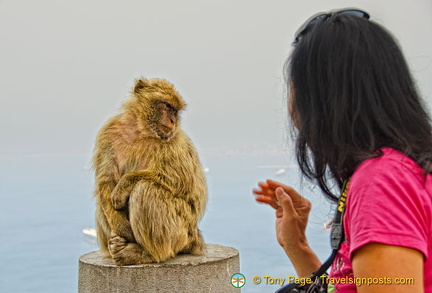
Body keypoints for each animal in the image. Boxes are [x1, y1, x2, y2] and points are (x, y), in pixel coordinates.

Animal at [93, 77, 208, 264]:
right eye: (167, 106)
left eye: (175, 110)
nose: (173, 121)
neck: (140, 129)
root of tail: (195, 238)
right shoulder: (108, 133)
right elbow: (106, 180)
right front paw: (123, 228)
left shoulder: (174, 141)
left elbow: (178, 180)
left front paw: (123, 186)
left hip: (181, 229)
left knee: (145, 189)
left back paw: (146, 254)